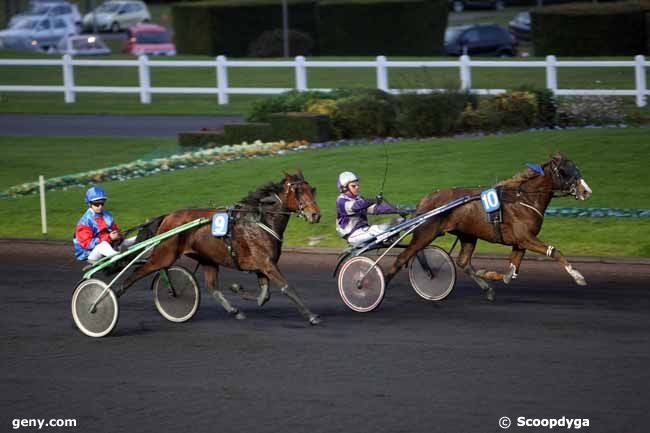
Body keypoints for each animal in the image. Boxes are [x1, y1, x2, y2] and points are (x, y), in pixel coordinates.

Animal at [119, 172, 322, 324]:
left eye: (312, 190)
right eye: (298, 191)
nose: (316, 215)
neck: (260, 220)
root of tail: (167, 216)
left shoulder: (263, 265)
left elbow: (264, 295)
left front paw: (237, 289)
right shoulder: (266, 264)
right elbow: (287, 287)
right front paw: (311, 316)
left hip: (207, 259)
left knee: (212, 288)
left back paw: (234, 310)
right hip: (164, 255)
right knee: (137, 272)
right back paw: (116, 292)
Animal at [384, 153, 592, 300]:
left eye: (576, 168)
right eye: (564, 170)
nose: (586, 191)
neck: (524, 199)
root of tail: (423, 202)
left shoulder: (520, 242)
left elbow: (510, 274)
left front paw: (487, 274)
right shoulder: (526, 238)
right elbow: (555, 251)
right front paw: (578, 276)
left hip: (467, 235)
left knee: (463, 262)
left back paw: (486, 287)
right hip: (425, 234)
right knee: (401, 258)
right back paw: (380, 284)